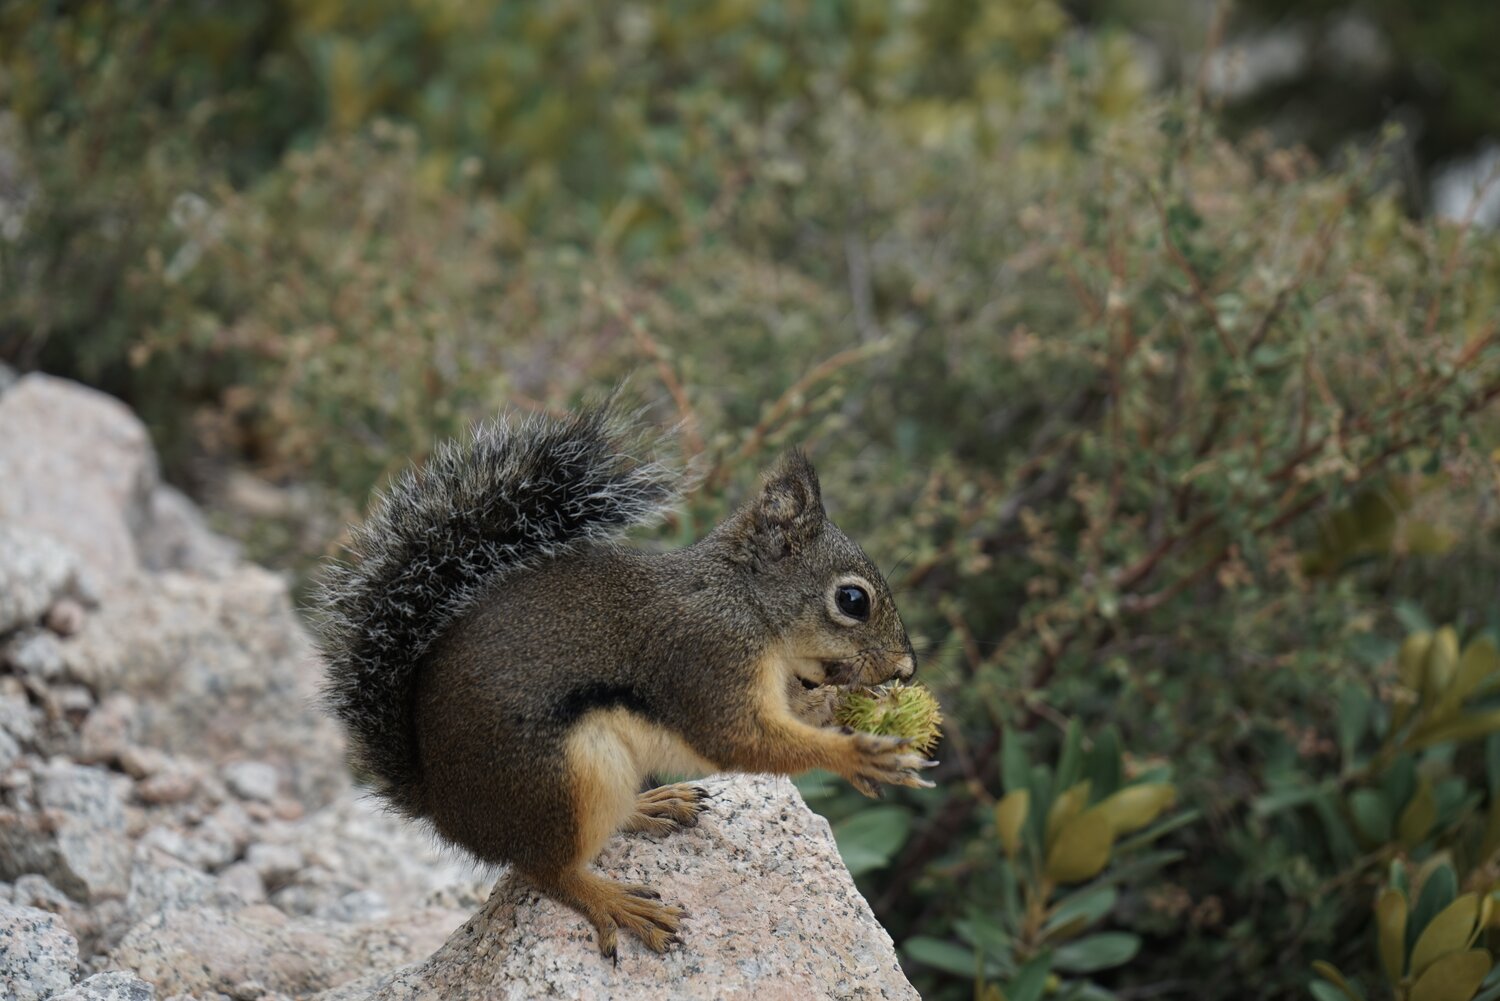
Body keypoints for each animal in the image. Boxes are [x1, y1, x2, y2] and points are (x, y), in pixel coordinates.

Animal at [311, 401, 934, 959]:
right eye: (852, 600)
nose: (906, 669)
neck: (746, 602)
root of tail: (446, 810)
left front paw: (844, 704)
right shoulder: (706, 655)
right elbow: (738, 740)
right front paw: (858, 754)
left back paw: (652, 805)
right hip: (565, 778)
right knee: (543, 869)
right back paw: (612, 901)